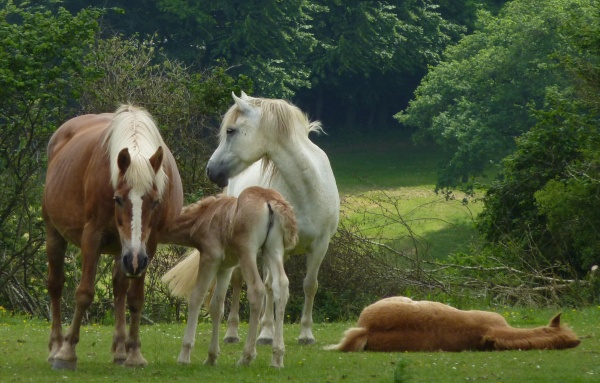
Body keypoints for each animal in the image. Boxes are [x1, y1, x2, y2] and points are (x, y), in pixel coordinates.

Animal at [42, 104, 183, 368]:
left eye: (155, 201)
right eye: (117, 199)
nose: (135, 259)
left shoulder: (147, 247)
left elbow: (135, 297)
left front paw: (134, 353)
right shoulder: (92, 238)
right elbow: (84, 293)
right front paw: (67, 352)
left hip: (126, 251)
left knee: (119, 288)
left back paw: (120, 350)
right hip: (55, 234)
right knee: (55, 285)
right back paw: (55, 346)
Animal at [162, 187, 298, 368]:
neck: (200, 218)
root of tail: (270, 201)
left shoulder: (210, 257)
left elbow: (196, 297)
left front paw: (184, 356)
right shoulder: (225, 267)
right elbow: (216, 306)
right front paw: (211, 357)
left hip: (248, 250)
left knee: (257, 289)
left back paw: (246, 356)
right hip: (273, 249)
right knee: (281, 286)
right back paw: (277, 357)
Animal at [205, 92, 338, 344]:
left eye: (231, 131)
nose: (211, 171)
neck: (307, 189)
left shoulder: (320, 246)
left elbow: (310, 285)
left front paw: (306, 334)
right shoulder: (276, 247)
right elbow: (270, 286)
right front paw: (267, 333)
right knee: (239, 281)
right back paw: (233, 332)